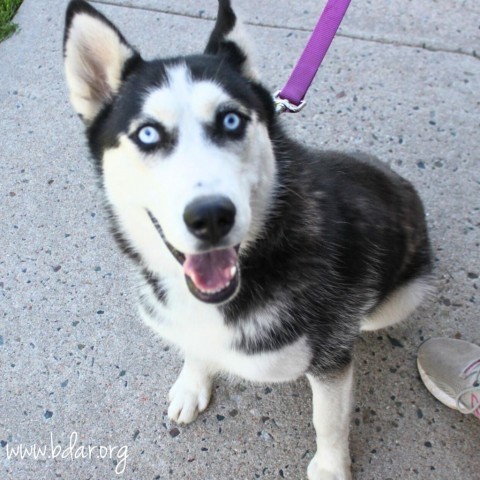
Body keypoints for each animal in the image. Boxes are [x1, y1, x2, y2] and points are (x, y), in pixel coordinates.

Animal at [62, 1, 434, 478]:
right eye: (148, 133)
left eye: (231, 120)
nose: (211, 216)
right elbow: (194, 347)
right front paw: (193, 382)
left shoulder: (331, 356)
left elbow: (328, 420)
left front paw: (331, 467)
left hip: (400, 298)